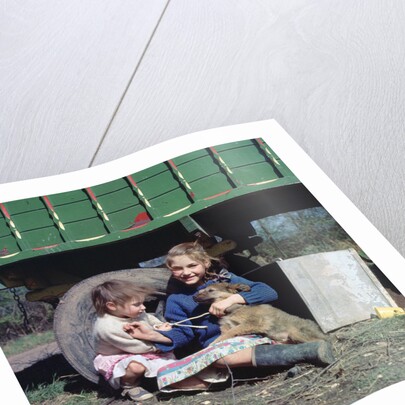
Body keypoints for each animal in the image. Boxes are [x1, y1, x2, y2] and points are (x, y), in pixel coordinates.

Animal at [193, 282, 326, 342]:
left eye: (210, 290)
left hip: (297, 333)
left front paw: (213, 343)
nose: (193, 297)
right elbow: (226, 332)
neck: (232, 307)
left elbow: (230, 332)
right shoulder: (227, 325)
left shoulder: (254, 322)